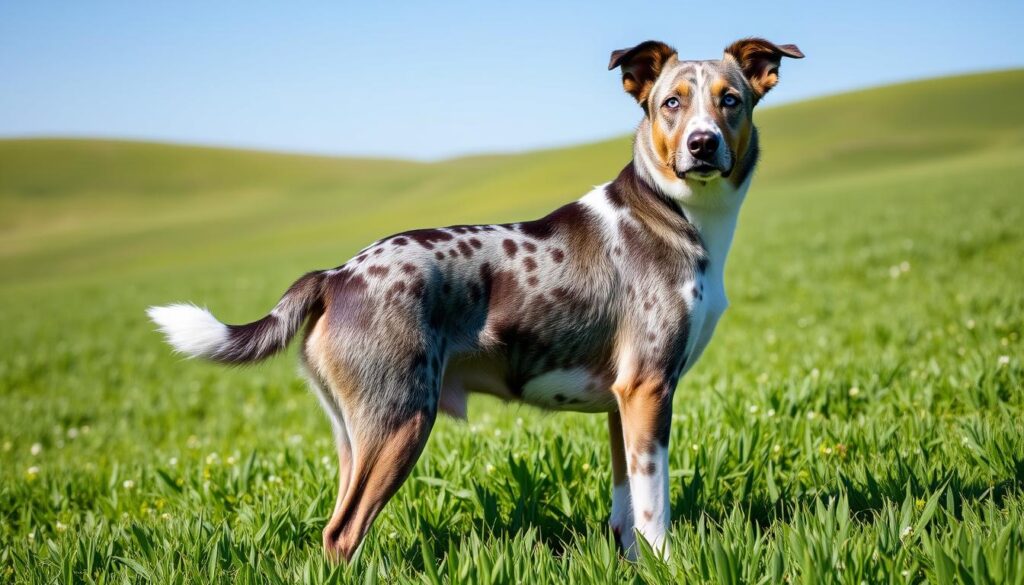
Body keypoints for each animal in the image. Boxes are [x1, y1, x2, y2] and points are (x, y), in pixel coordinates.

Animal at [146, 38, 798, 561]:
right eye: (671, 103)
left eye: (731, 100)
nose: (703, 144)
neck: (676, 212)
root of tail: (336, 274)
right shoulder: (650, 388)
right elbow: (653, 511)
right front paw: (669, 566)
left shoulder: (624, 399)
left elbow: (626, 511)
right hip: (401, 421)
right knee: (342, 533)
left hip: (356, 435)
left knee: (334, 527)